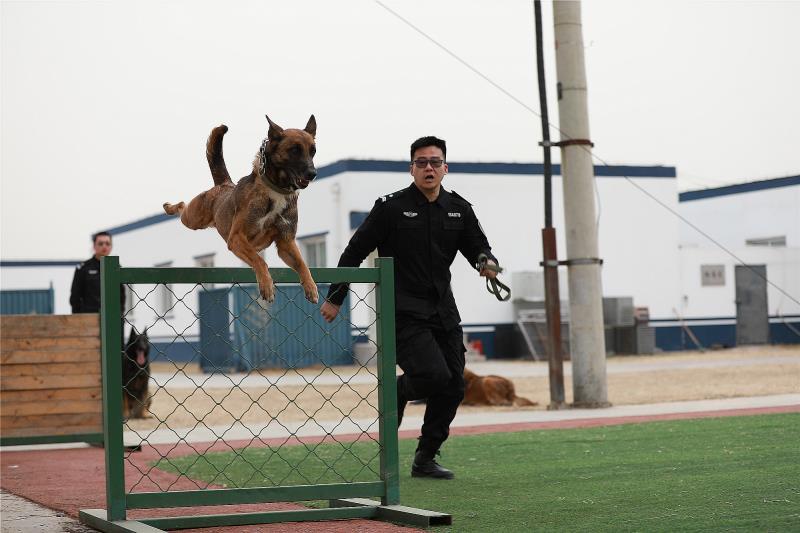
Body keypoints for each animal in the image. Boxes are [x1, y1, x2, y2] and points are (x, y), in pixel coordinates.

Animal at [162, 114, 318, 302]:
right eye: (294, 150)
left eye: (313, 151)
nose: (313, 174)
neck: (275, 190)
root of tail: (224, 184)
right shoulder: (236, 238)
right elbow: (260, 261)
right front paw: (267, 285)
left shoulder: (285, 243)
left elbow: (302, 264)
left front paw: (311, 286)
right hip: (193, 219)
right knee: (182, 207)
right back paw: (170, 207)